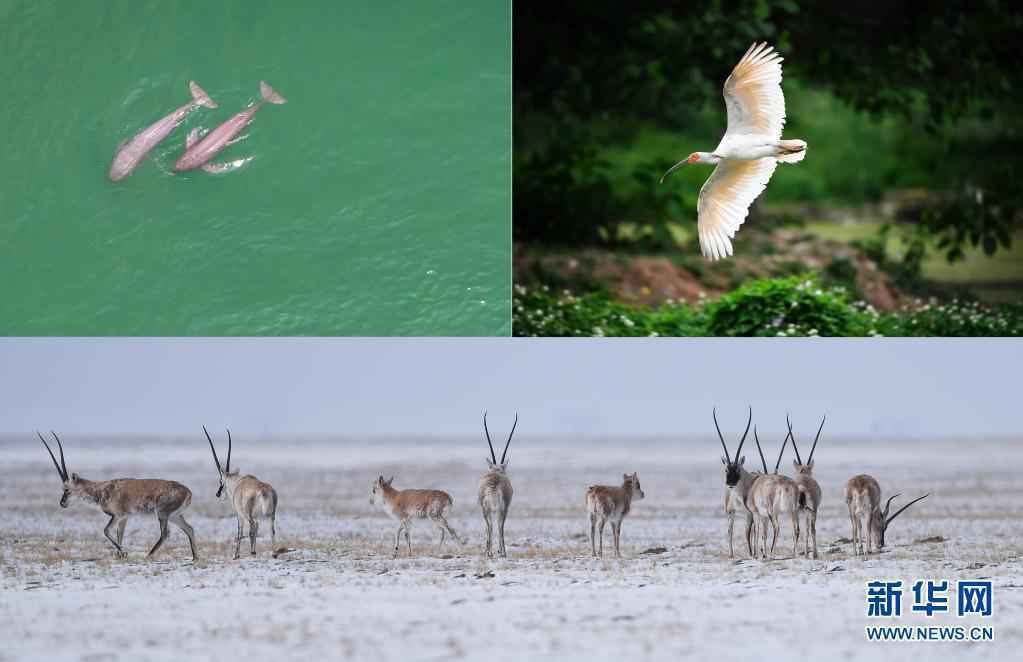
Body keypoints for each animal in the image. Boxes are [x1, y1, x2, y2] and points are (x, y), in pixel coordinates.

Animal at [37, 431, 198, 560]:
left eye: (67, 489)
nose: (62, 503)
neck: (102, 489)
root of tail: (188, 492)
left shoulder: (117, 515)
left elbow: (106, 530)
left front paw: (124, 552)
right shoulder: (124, 518)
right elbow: (120, 534)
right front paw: (121, 555)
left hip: (163, 514)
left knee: (165, 534)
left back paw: (148, 555)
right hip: (174, 516)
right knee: (189, 529)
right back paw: (195, 557)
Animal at [203, 425, 278, 560]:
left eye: (220, 480)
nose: (218, 494)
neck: (237, 483)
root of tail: (263, 489)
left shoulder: (239, 515)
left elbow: (240, 531)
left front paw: (236, 555)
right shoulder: (257, 517)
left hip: (249, 515)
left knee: (251, 528)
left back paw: (252, 552)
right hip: (271, 515)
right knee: (270, 530)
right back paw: (273, 553)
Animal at [474, 411, 515, 556]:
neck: (496, 472)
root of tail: (493, 486)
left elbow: (488, 528)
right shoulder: (506, 509)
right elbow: (501, 527)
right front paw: (501, 551)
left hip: (485, 509)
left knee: (489, 526)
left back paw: (489, 552)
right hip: (499, 510)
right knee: (497, 525)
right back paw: (500, 552)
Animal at [785, 413, 826, 560]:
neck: (803, 474)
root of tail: (801, 487)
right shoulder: (811, 511)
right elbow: (809, 530)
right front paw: (811, 553)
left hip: (794, 511)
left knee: (796, 530)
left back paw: (795, 554)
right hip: (811, 511)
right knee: (811, 529)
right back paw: (813, 554)